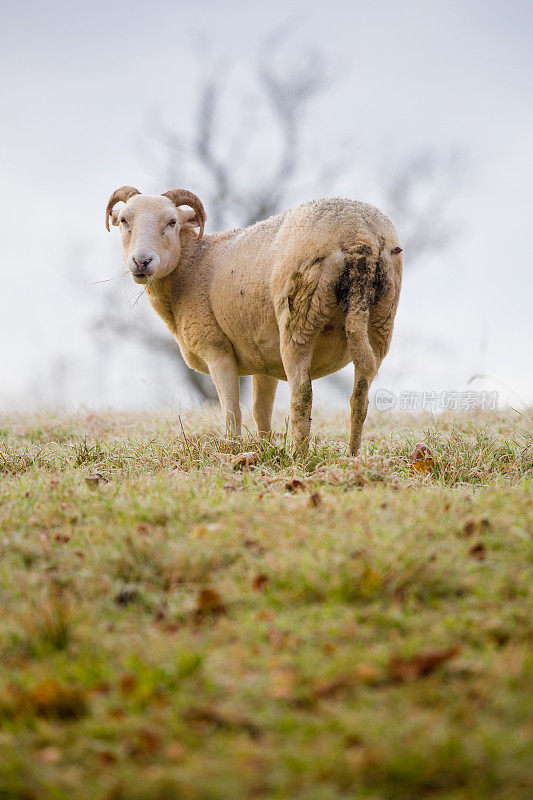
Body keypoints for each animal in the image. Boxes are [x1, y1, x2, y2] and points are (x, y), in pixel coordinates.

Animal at [106, 184, 402, 454]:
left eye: (172, 222)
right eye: (124, 221)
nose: (142, 261)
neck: (192, 263)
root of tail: (359, 234)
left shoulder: (215, 348)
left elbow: (232, 411)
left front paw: (234, 450)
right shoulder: (264, 360)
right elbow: (261, 411)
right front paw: (264, 449)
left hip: (300, 317)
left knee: (302, 395)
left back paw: (298, 456)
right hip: (382, 321)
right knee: (360, 399)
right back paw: (352, 455)